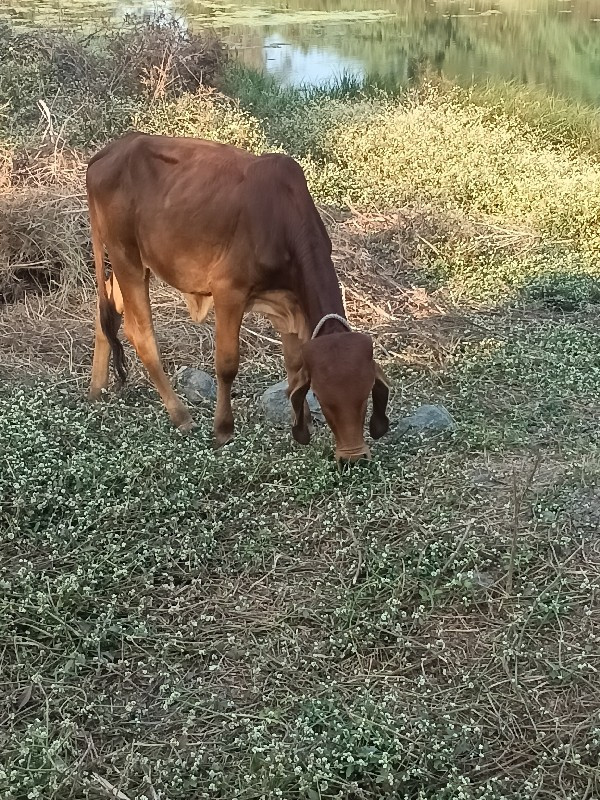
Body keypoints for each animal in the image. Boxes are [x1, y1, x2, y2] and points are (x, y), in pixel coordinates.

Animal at [86, 133, 392, 462]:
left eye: (365, 396)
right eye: (325, 400)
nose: (354, 457)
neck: (282, 219)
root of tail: (109, 151)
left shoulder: (290, 302)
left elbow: (295, 365)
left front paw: (303, 422)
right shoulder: (229, 292)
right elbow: (227, 364)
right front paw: (223, 429)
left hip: (136, 264)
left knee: (106, 314)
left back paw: (96, 390)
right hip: (125, 256)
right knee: (140, 333)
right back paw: (181, 416)